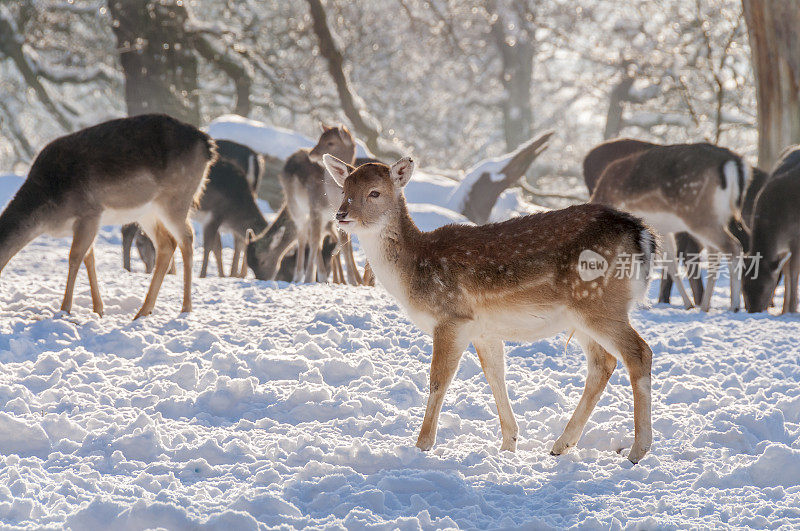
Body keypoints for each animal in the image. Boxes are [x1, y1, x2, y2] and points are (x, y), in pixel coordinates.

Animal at [0, 114, 216, 318]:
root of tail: (207, 144)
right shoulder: (86, 223)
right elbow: (89, 258)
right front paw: (98, 309)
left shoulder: (90, 213)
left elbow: (75, 257)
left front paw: (65, 310)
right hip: (148, 211)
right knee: (166, 244)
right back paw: (143, 311)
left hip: (176, 199)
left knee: (187, 239)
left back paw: (185, 308)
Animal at [324, 155, 656, 466]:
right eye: (344, 189)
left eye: (375, 192)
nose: (341, 214)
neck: (413, 273)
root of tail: (643, 236)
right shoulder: (483, 329)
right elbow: (495, 375)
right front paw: (509, 444)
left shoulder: (452, 317)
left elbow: (438, 380)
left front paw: (421, 445)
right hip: (582, 314)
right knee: (603, 362)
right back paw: (561, 444)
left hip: (599, 303)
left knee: (639, 352)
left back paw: (637, 450)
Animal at [588, 143, 752, 314]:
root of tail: (734, 162)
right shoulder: (662, 230)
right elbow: (671, 263)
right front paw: (688, 304)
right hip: (716, 218)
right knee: (716, 253)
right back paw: (705, 305)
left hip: (699, 216)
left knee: (733, 246)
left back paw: (734, 306)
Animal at [744, 143, 800, 314]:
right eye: (743, 287)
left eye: (764, 288)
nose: (753, 311)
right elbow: (787, 272)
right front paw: (784, 310)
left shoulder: (796, 238)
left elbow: (793, 270)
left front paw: (792, 309)